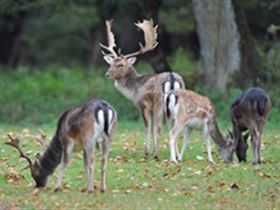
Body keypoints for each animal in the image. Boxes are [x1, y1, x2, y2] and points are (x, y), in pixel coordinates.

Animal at [99, 19, 185, 160]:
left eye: (121, 65)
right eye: (111, 63)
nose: (107, 74)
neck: (134, 88)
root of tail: (172, 78)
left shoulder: (143, 105)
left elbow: (148, 127)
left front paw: (147, 152)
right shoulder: (151, 108)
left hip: (159, 102)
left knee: (160, 126)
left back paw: (156, 155)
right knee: (174, 124)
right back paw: (176, 156)